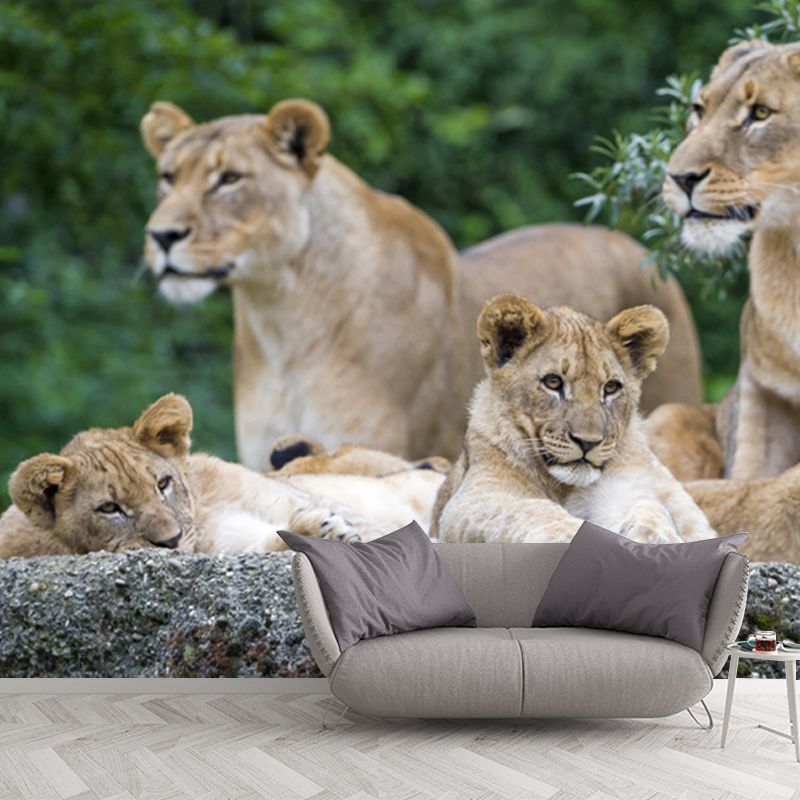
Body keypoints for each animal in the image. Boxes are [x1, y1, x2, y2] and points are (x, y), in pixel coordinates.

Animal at [0, 395, 447, 559]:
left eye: (162, 484)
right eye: (110, 508)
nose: (171, 541)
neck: (206, 510)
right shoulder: (231, 544)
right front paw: (323, 533)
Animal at [433, 295, 716, 544]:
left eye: (611, 387)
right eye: (553, 382)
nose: (588, 442)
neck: (562, 487)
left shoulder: (623, 490)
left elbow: (647, 508)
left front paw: (658, 538)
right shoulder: (473, 499)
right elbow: (532, 510)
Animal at [647, 39, 800, 482]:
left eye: (761, 113)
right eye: (699, 110)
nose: (680, 178)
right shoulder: (764, 392)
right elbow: (751, 473)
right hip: (668, 414)